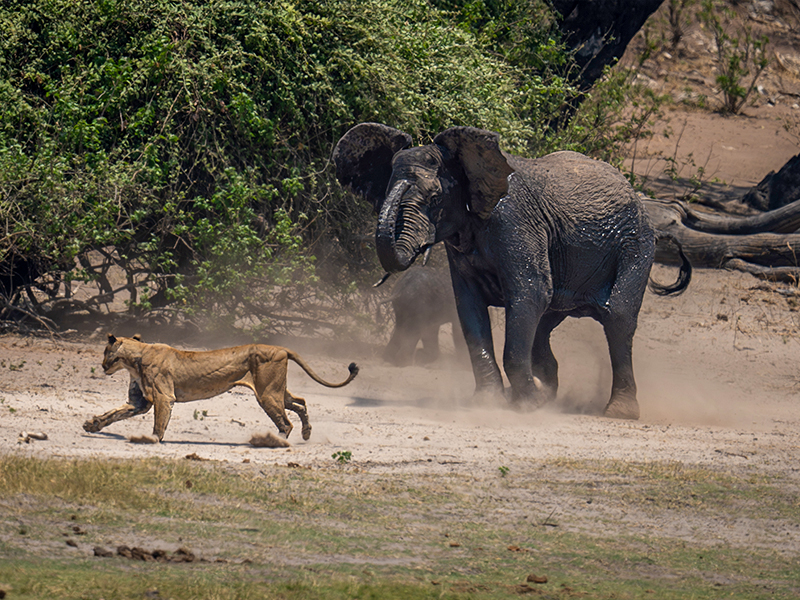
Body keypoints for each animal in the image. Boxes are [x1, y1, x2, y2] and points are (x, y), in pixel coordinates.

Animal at [82, 334, 359, 444]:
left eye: (105, 351)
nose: (102, 365)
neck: (134, 360)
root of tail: (281, 348)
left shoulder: (163, 396)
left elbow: (159, 422)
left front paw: (151, 440)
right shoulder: (139, 402)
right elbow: (112, 414)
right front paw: (91, 425)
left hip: (267, 394)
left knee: (286, 423)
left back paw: (272, 441)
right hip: (277, 392)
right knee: (301, 402)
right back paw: (307, 433)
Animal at [333, 123, 691, 419]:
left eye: (434, 197)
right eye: (386, 190)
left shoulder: (514, 223)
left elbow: (528, 294)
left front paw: (526, 407)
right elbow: (471, 309)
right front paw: (488, 404)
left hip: (636, 245)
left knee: (617, 316)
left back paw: (619, 412)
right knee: (545, 322)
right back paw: (548, 395)